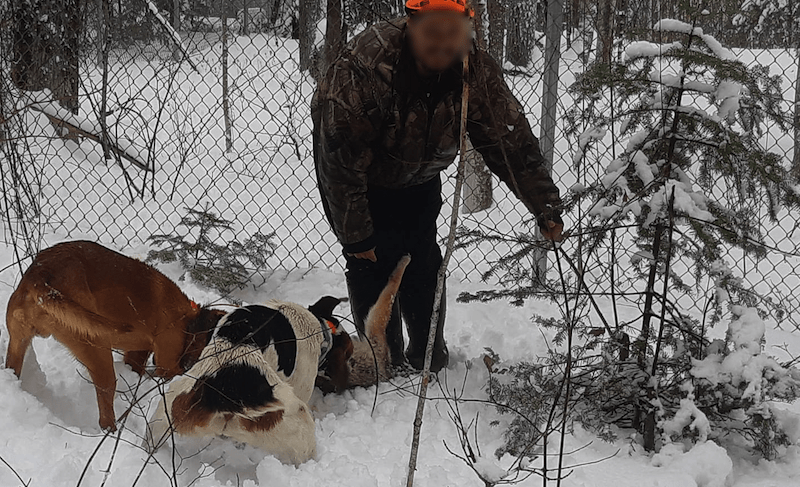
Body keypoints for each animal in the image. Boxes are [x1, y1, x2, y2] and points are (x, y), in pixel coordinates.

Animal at [6, 240, 225, 430]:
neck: (188, 320)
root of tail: (41, 275)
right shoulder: (167, 364)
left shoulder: (137, 354)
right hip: (98, 351)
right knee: (105, 407)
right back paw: (111, 430)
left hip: (17, 343)